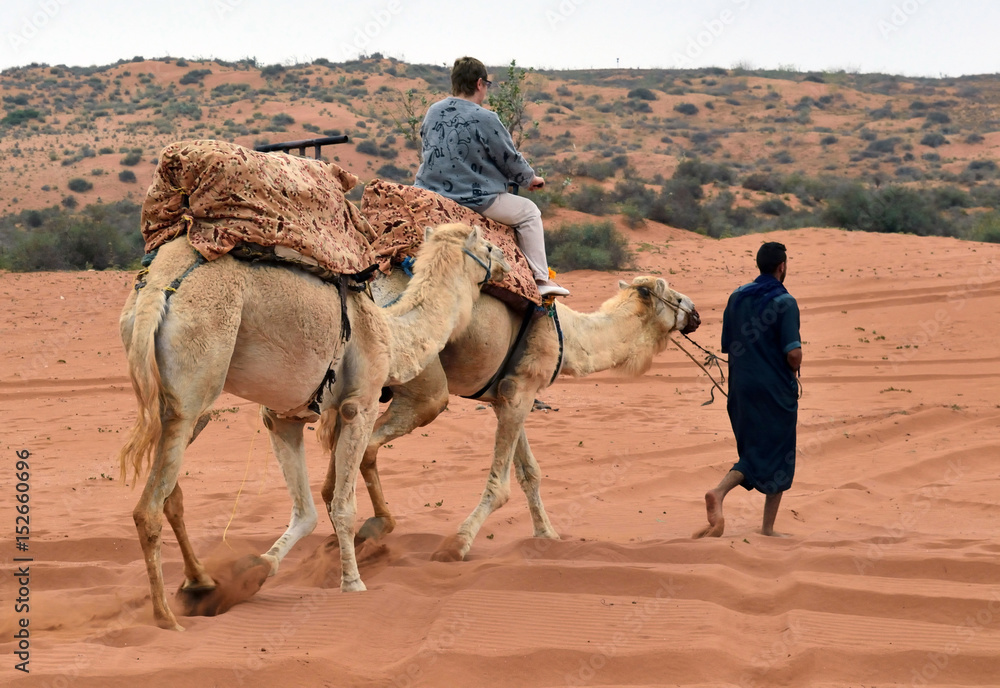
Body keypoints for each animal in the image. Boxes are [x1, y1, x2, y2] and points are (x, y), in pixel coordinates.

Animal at [118, 222, 510, 630]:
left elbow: (307, 510)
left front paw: (260, 567)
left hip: (165, 397)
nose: (506, 265)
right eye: (487, 245)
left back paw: (200, 583)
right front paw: (352, 583)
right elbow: (342, 505)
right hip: (194, 383)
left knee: (170, 496)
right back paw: (166, 617)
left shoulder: (283, 417)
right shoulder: (360, 406)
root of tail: (155, 291)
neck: (389, 333)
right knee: (149, 507)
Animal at [322, 271, 700, 561]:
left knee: (345, 444)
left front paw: (547, 534)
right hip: (422, 381)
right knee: (371, 444)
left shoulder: (505, 397)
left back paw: (337, 526)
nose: (695, 312)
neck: (568, 336)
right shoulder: (521, 391)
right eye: (673, 295)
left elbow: (529, 472)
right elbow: (502, 485)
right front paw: (457, 545)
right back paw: (375, 525)